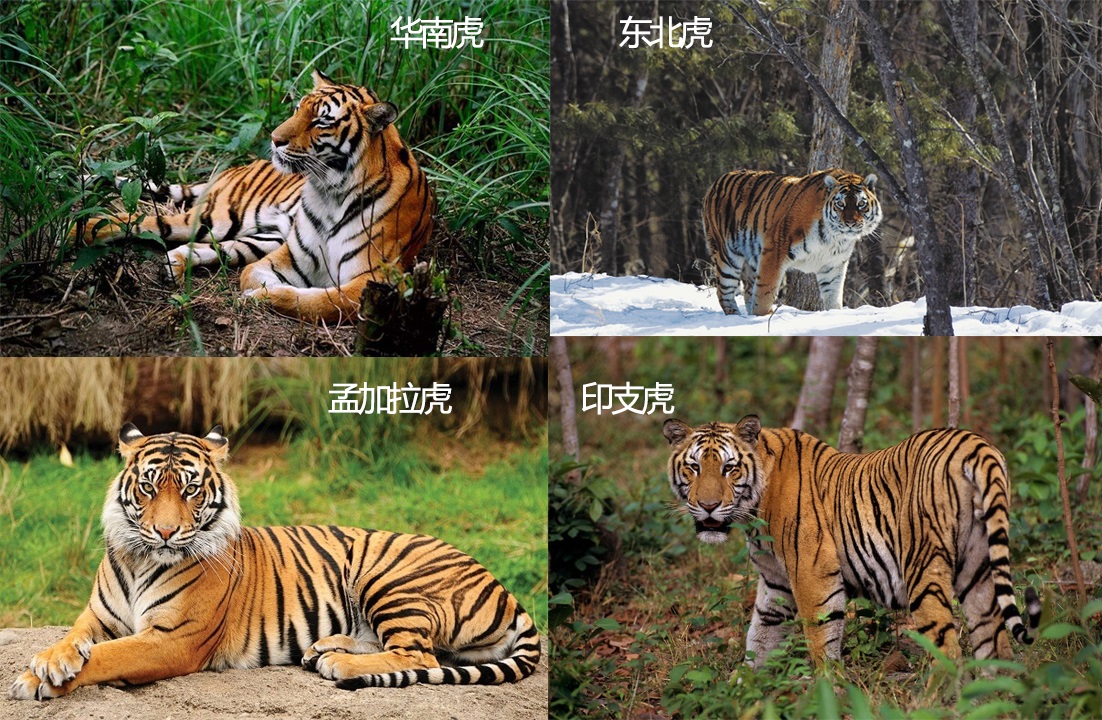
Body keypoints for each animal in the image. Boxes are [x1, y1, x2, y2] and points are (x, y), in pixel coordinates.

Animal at [9, 424, 539, 700]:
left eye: (191, 489)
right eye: (148, 487)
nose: (165, 532)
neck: (142, 560)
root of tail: (504, 589)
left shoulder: (174, 639)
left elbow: (109, 656)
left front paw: (36, 680)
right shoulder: (98, 616)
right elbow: (74, 639)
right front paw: (49, 661)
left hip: (388, 577)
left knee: (420, 655)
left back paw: (339, 664)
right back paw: (325, 648)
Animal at [70, 70, 434, 324]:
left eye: (321, 121)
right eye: (297, 108)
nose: (274, 139)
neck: (331, 192)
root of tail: (236, 168)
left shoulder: (375, 278)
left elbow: (321, 301)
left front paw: (265, 298)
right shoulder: (290, 257)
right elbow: (256, 277)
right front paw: (260, 293)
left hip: (260, 235)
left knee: (211, 246)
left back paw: (174, 264)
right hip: (217, 217)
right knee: (141, 221)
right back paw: (76, 231)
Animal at [661, 415, 1040, 669]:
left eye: (729, 468)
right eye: (694, 468)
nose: (708, 505)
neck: (754, 510)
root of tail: (975, 444)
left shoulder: (812, 574)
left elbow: (820, 639)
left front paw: (829, 691)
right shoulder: (775, 583)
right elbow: (760, 638)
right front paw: (745, 690)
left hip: (923, 567)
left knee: (949, 651)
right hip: (978, 569)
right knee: (995, 646)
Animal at [701, 169, 881, 316]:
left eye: (861, 204)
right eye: (840, 204)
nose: (850, 223)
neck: (835, 238)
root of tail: (716, 182)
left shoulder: (833, 264)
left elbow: (833, 295)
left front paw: (834, 315)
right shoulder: (774, 250)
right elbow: (765, 290)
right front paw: (763, 316)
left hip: (751, 257)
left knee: (747, 290)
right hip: (727, 255)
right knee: (723, 291)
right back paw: (736, 316)